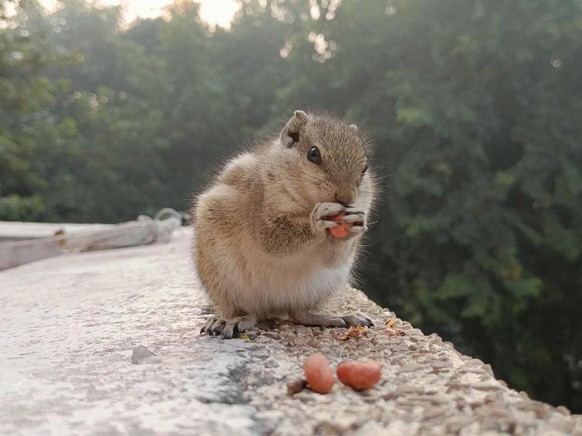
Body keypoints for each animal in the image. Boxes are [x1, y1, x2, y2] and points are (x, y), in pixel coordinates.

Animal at [195, 110, 378, 338]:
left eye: (365, 167)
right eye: (313, 154)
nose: (346, 197)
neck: (308, 204)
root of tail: (274, 306)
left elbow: (333, 258)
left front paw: (355, 224)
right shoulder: (261, 205)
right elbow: (272, 239)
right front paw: (317, 220)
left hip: (322, 287)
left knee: (300, 314)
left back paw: (340, 317)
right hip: (224, 279)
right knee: (247, 311)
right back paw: (232, 320)